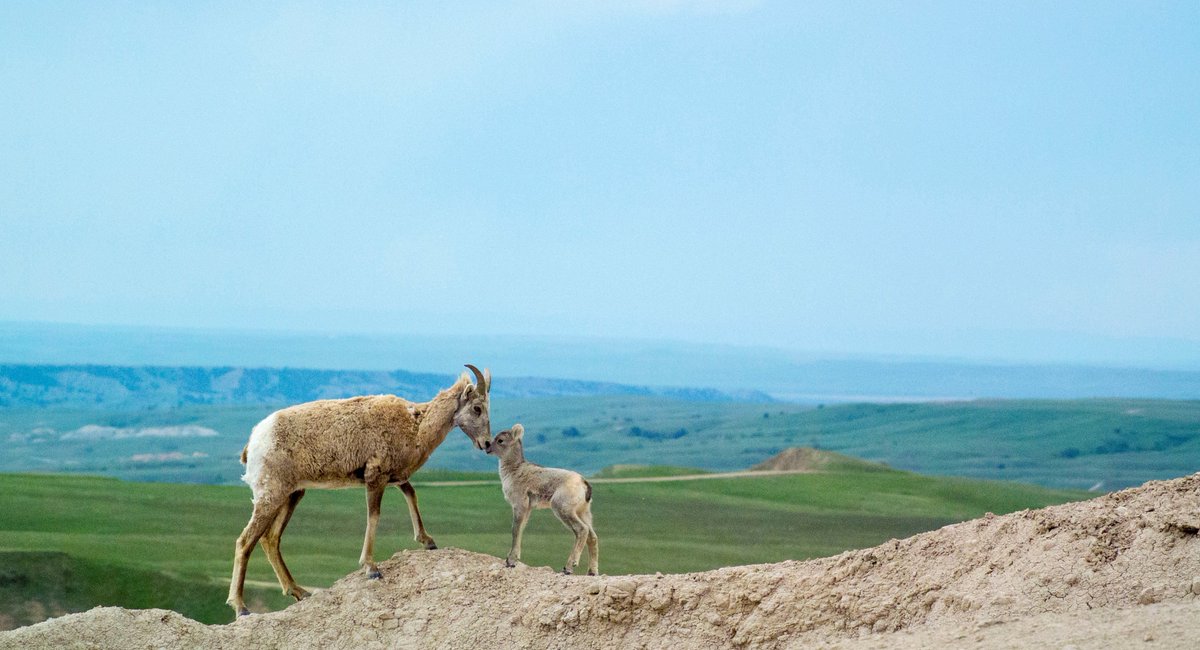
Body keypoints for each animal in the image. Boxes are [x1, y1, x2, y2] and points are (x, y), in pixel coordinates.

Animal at [226, 364, 493, 618]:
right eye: (477, 408)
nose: (487, 443)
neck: (415, 426)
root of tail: (254, 442)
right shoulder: (375, 477)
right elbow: (374, 516)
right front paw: (371, 569)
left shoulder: (395, 478)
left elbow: (411, 494)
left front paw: (428, 541)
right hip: (270, 497)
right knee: (245, 541)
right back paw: (241, 608)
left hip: (292, 495)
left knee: (270, 539)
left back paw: (300, 592)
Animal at [487, 423, 598, 576]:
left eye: (500, 440)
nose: (487, 448)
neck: (514, 471)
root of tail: (583, 483)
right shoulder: (527, 509)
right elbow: (521, 529)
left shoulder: (519, 504)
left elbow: (515, 530)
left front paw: (510, 561)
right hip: (583, 512)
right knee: (592, 537)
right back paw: (592, 572)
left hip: (562, 509)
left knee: (582, 530)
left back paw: (568, 568)